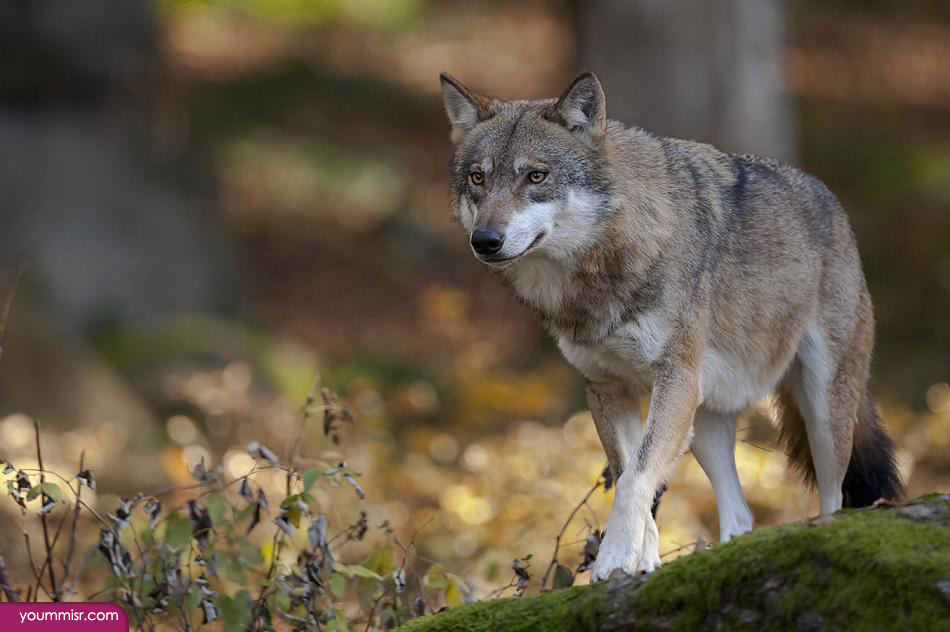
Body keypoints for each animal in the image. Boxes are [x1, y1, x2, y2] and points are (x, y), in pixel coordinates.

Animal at [439, 71, 903, 580]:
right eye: (479, 178)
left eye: (535, 176)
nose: (485, 240)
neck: (602, 269)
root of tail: (834, 203)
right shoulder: (606, 388)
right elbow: (631, 477)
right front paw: (641, 561)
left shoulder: (674, 380)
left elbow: (636, 479)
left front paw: (613, 561)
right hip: (705, 423)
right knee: (741, 514)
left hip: (821, 412)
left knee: (834, 497)